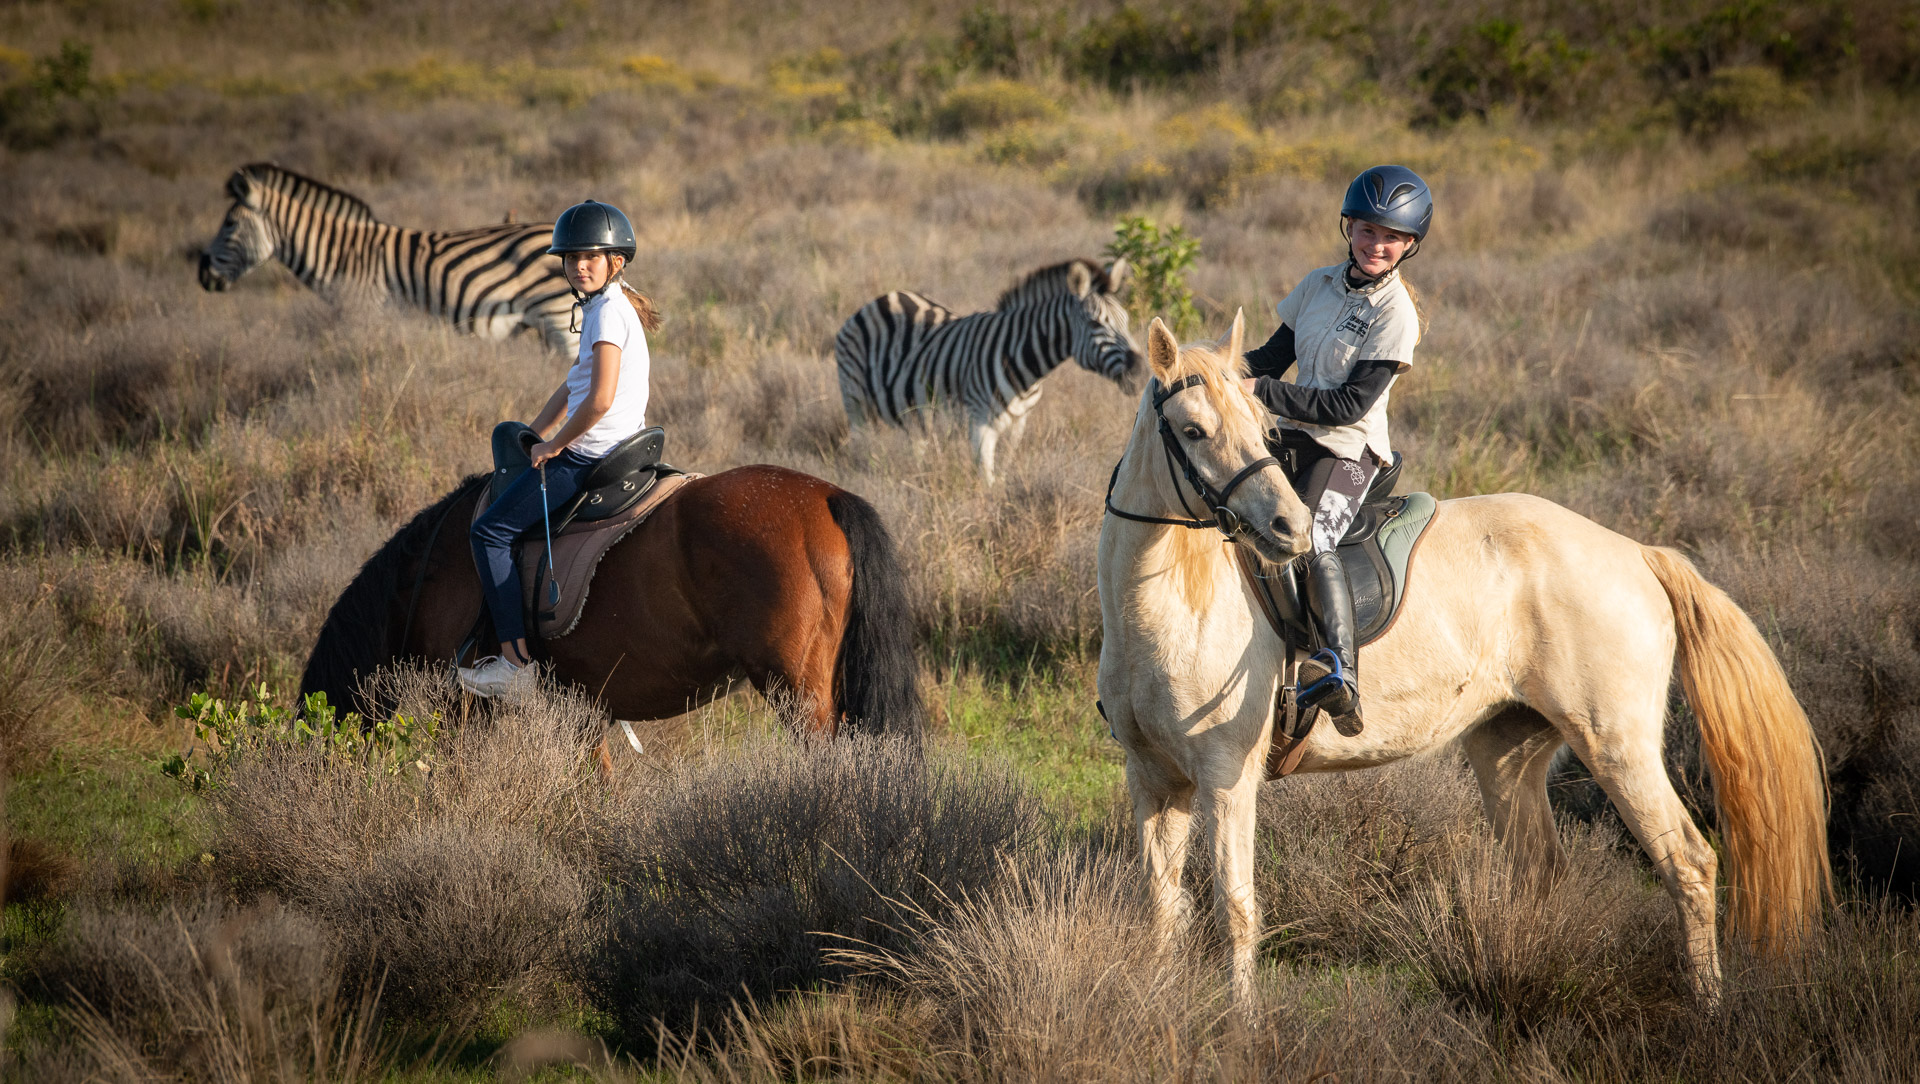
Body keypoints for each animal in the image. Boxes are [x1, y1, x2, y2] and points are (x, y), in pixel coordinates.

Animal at [1096, 312, 1830, 1007]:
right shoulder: (1155, 780)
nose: (1291, 530)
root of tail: (1639, 554)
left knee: (1688, 862)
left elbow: (1235, 908)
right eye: (1193, 431)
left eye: (1264, 428)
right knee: (1540, 870)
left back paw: (1708, 1007)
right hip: (1506, 749)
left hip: (1617, 746)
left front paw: (1242, 1026)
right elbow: (1163, 906)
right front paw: (1157, 1002)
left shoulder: (1227, 779)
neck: (1157, 605)